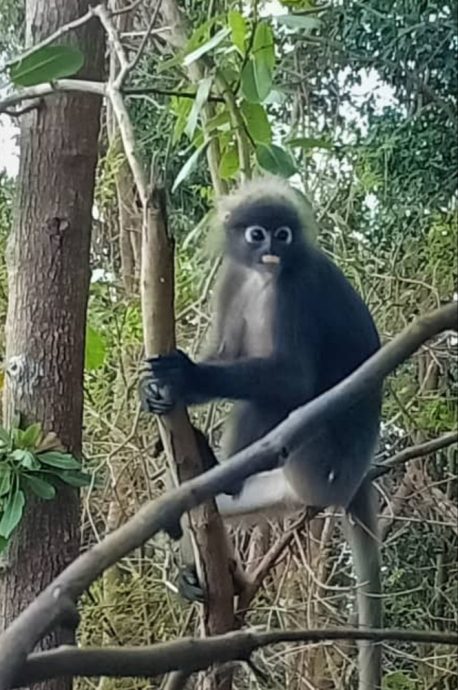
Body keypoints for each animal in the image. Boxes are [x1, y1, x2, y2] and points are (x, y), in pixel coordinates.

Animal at [139, 176, 382, 688]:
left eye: (283, 235)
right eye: (257, 235)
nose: (271, 250)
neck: (263, 276)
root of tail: (354, 477)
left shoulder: (295, 285)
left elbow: (293, 379)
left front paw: (185, 376)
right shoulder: (234, 278)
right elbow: (227, 350)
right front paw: (159, 396)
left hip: (314, 464)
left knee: (273, 400)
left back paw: (219, 474)